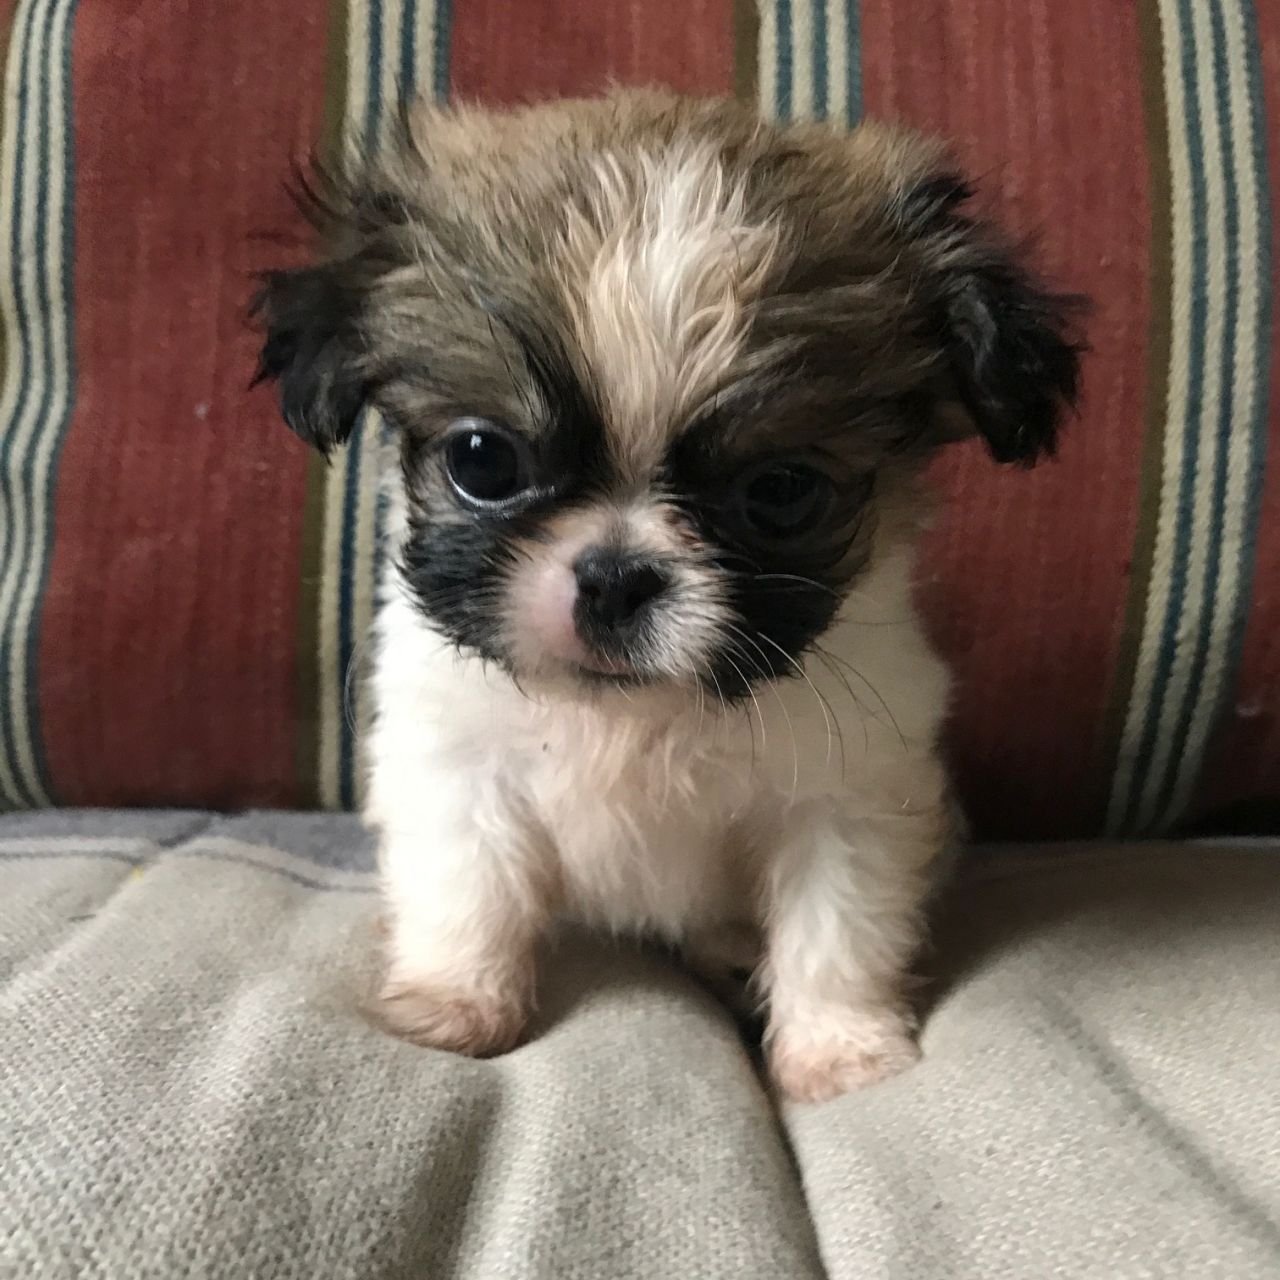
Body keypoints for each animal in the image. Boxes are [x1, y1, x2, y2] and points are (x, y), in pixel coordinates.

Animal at [252, 90, 1080, 1105]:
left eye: (781, 491)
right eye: (484, 461)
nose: (617, 574)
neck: (634, 718)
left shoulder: (848, 803)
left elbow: (836, 929)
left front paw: (839, 1049)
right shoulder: (457, 768)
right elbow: (466, 891)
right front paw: (454, 1004)